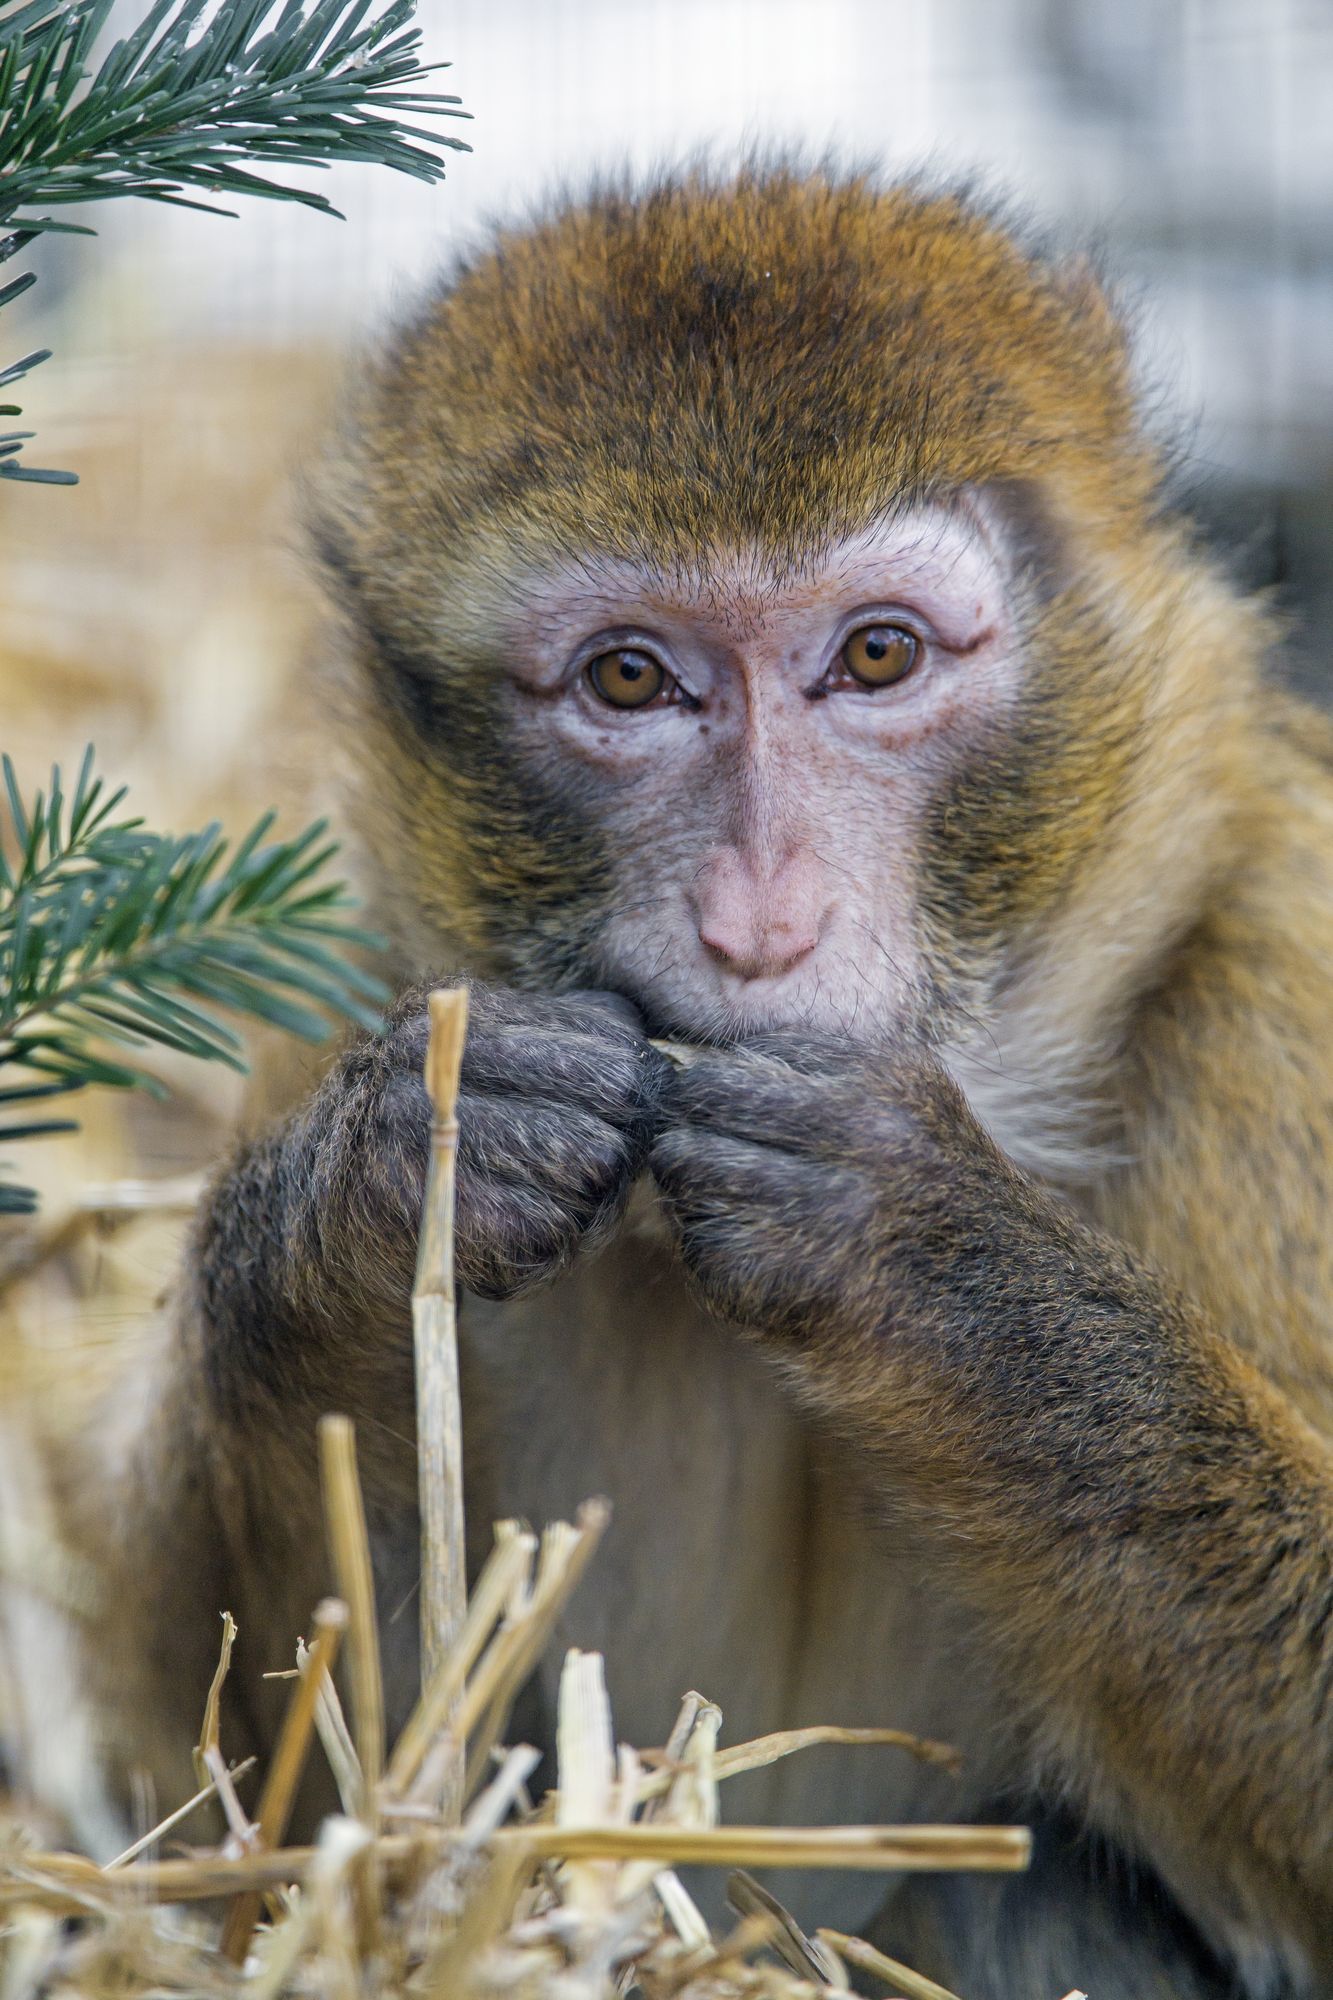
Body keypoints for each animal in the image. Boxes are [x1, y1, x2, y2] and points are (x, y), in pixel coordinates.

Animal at [23, 168, 1333, 1984]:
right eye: (631, 679)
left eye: (875, 658)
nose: (759, 918)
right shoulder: (375, 960)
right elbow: (280, 1808)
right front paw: (368, 1193)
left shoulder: (1272, 987)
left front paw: (929, 1267)